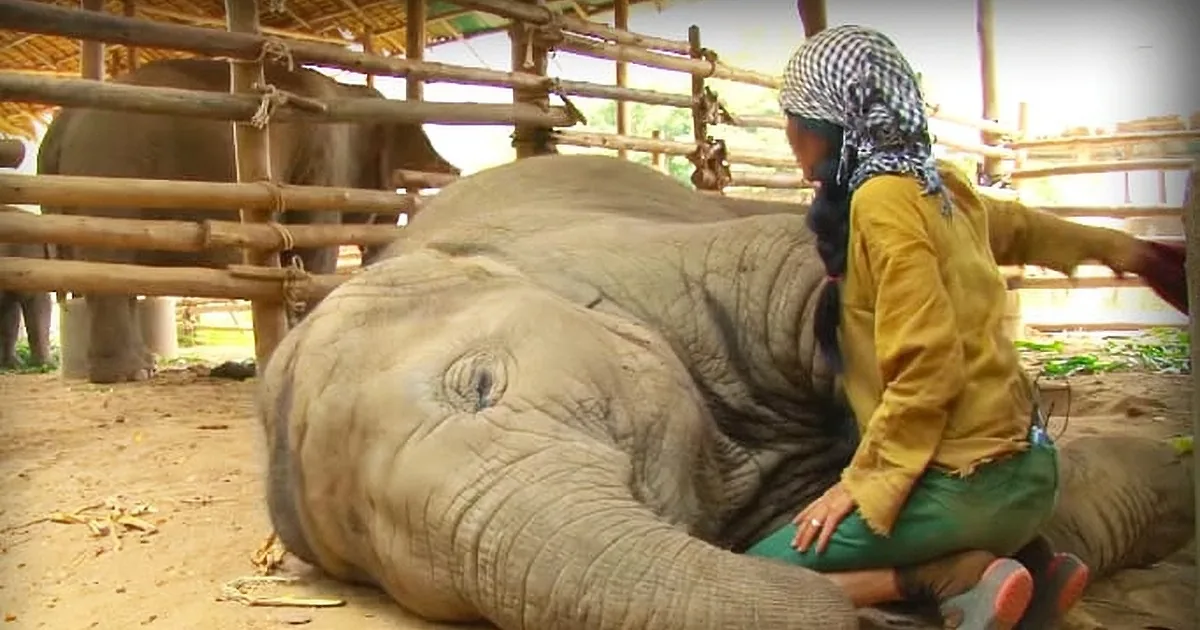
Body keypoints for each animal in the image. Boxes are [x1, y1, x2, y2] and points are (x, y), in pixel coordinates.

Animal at [35, 57, 460, 384]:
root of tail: (58, 127)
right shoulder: (322, 163)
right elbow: (314, 243)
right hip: (109, 171)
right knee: (109, 263)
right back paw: (131, 374)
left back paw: (142, 367)